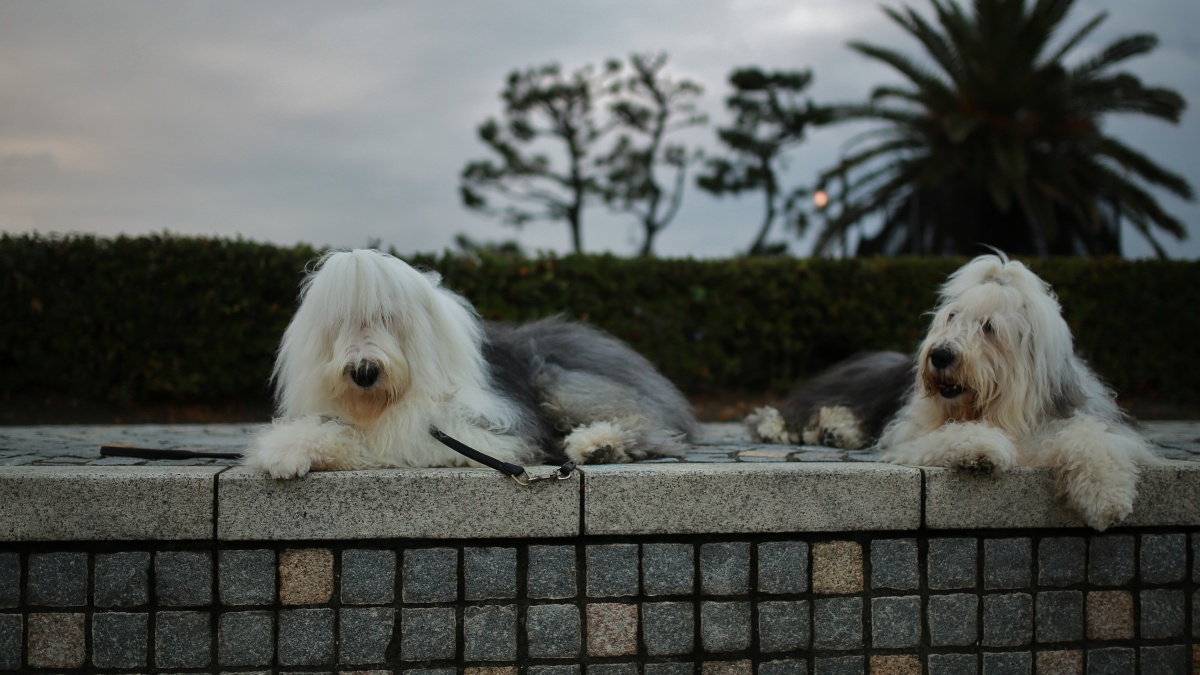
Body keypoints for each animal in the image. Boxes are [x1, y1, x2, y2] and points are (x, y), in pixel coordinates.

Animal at [243, 249, 696, 478]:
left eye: (388, 317)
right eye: (340, 322)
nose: (364, 372)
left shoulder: (484, 431)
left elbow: (395, 440)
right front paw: (289, 451)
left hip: (563, 385)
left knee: (646, 428)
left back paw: (598, 445)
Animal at [749, 253, 1158, 530]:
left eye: (989, 327)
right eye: (951, 316)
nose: (941, 355)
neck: (1001, 411)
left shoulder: (1071, 419)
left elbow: (1093, 439)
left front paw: (1106, 498)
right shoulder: (912, 433)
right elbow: (952, 434)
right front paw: (981, 450)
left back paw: (837, 432)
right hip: (854, 390)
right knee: (790, 413)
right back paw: (802, 428)